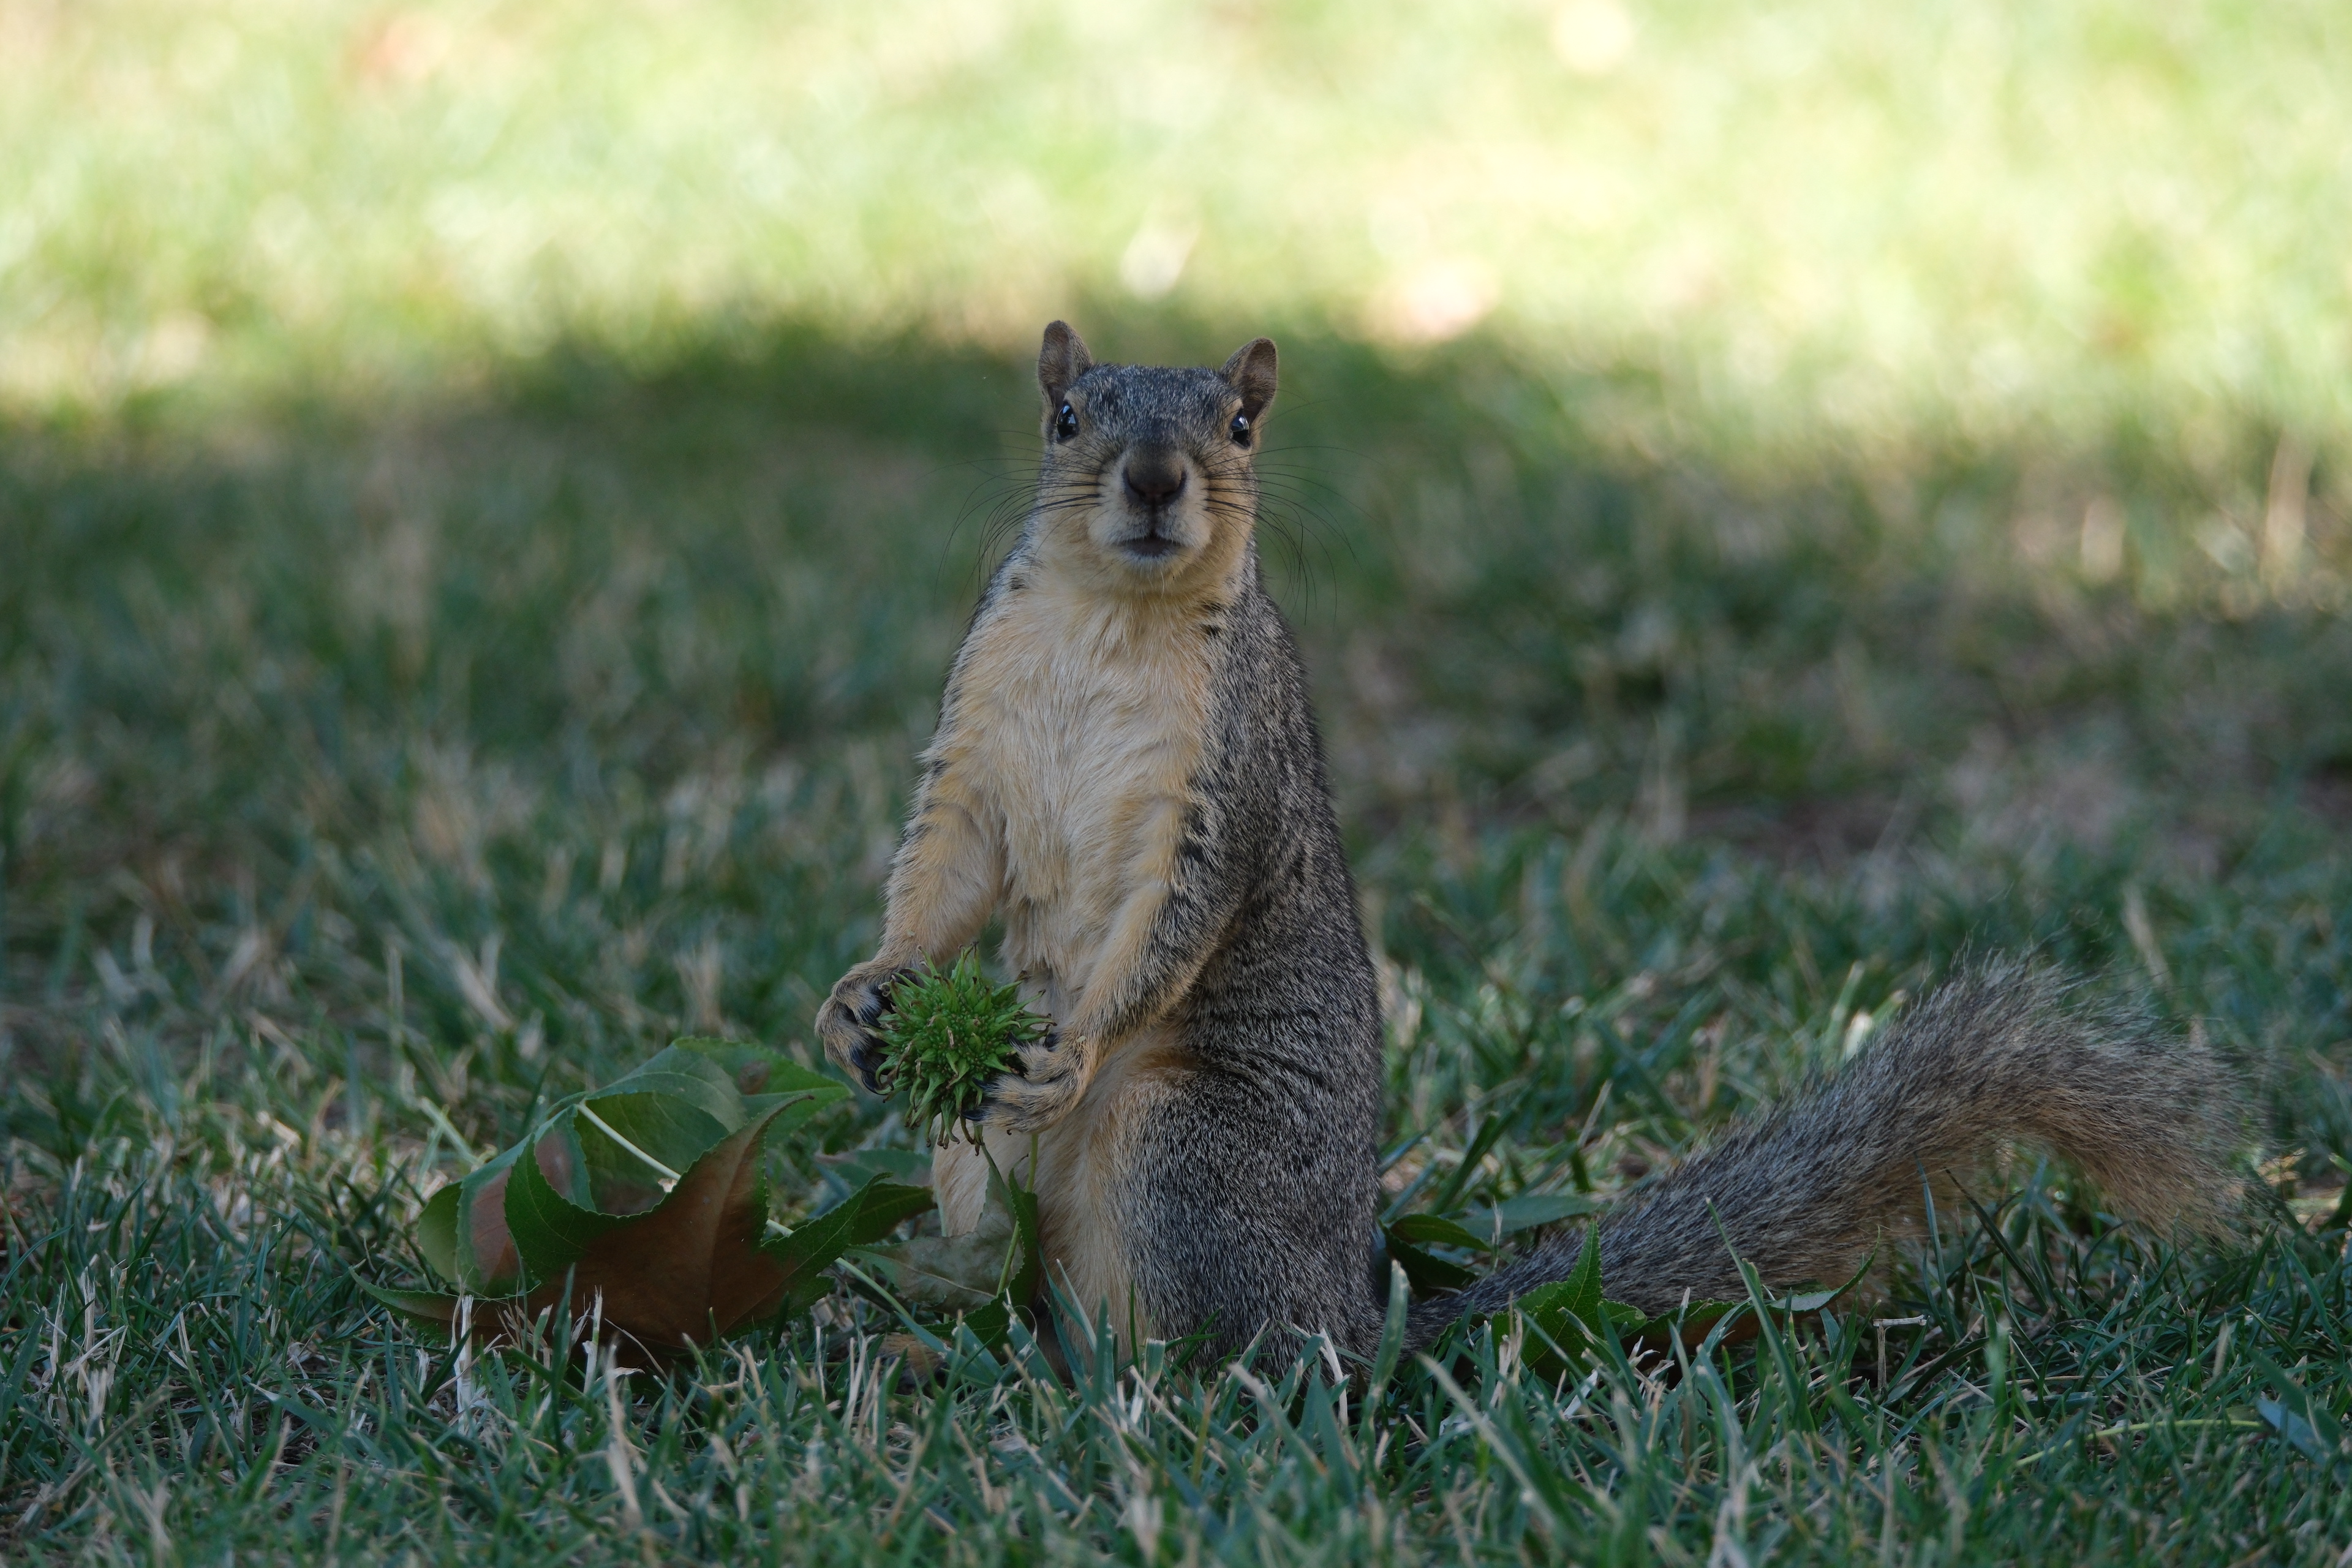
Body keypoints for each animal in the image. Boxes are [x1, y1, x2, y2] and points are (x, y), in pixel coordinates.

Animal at [823, 322, 2239, 1363]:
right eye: (1067, 418)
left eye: (1240, 425)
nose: (1160, 479)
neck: (1117, 615)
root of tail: (1357, 1318)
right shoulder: (977, 741)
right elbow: (945, 866)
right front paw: (861, 992)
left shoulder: (1227, 781)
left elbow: (1177, 916)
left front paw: (1068, 1045)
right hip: (970, 1164)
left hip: (1185, 1154)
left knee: (1239, 1357)